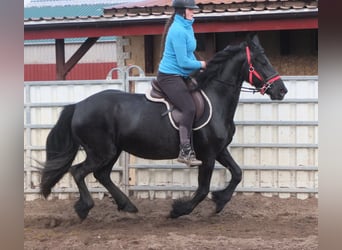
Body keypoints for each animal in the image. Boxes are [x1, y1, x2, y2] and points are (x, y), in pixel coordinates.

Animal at [39, 33, 286, 219]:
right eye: (261, 62)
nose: (281, 90)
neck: (215, 99)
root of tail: (79, 106)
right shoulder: (207, 155)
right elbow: (203, 189)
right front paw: (179, 210)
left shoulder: (219, 150)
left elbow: (237, 173)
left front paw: (220, 201)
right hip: (101, 151)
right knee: (78, 171)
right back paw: (85, 208)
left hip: (112, 150)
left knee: (101, 175)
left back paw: (127, 205)